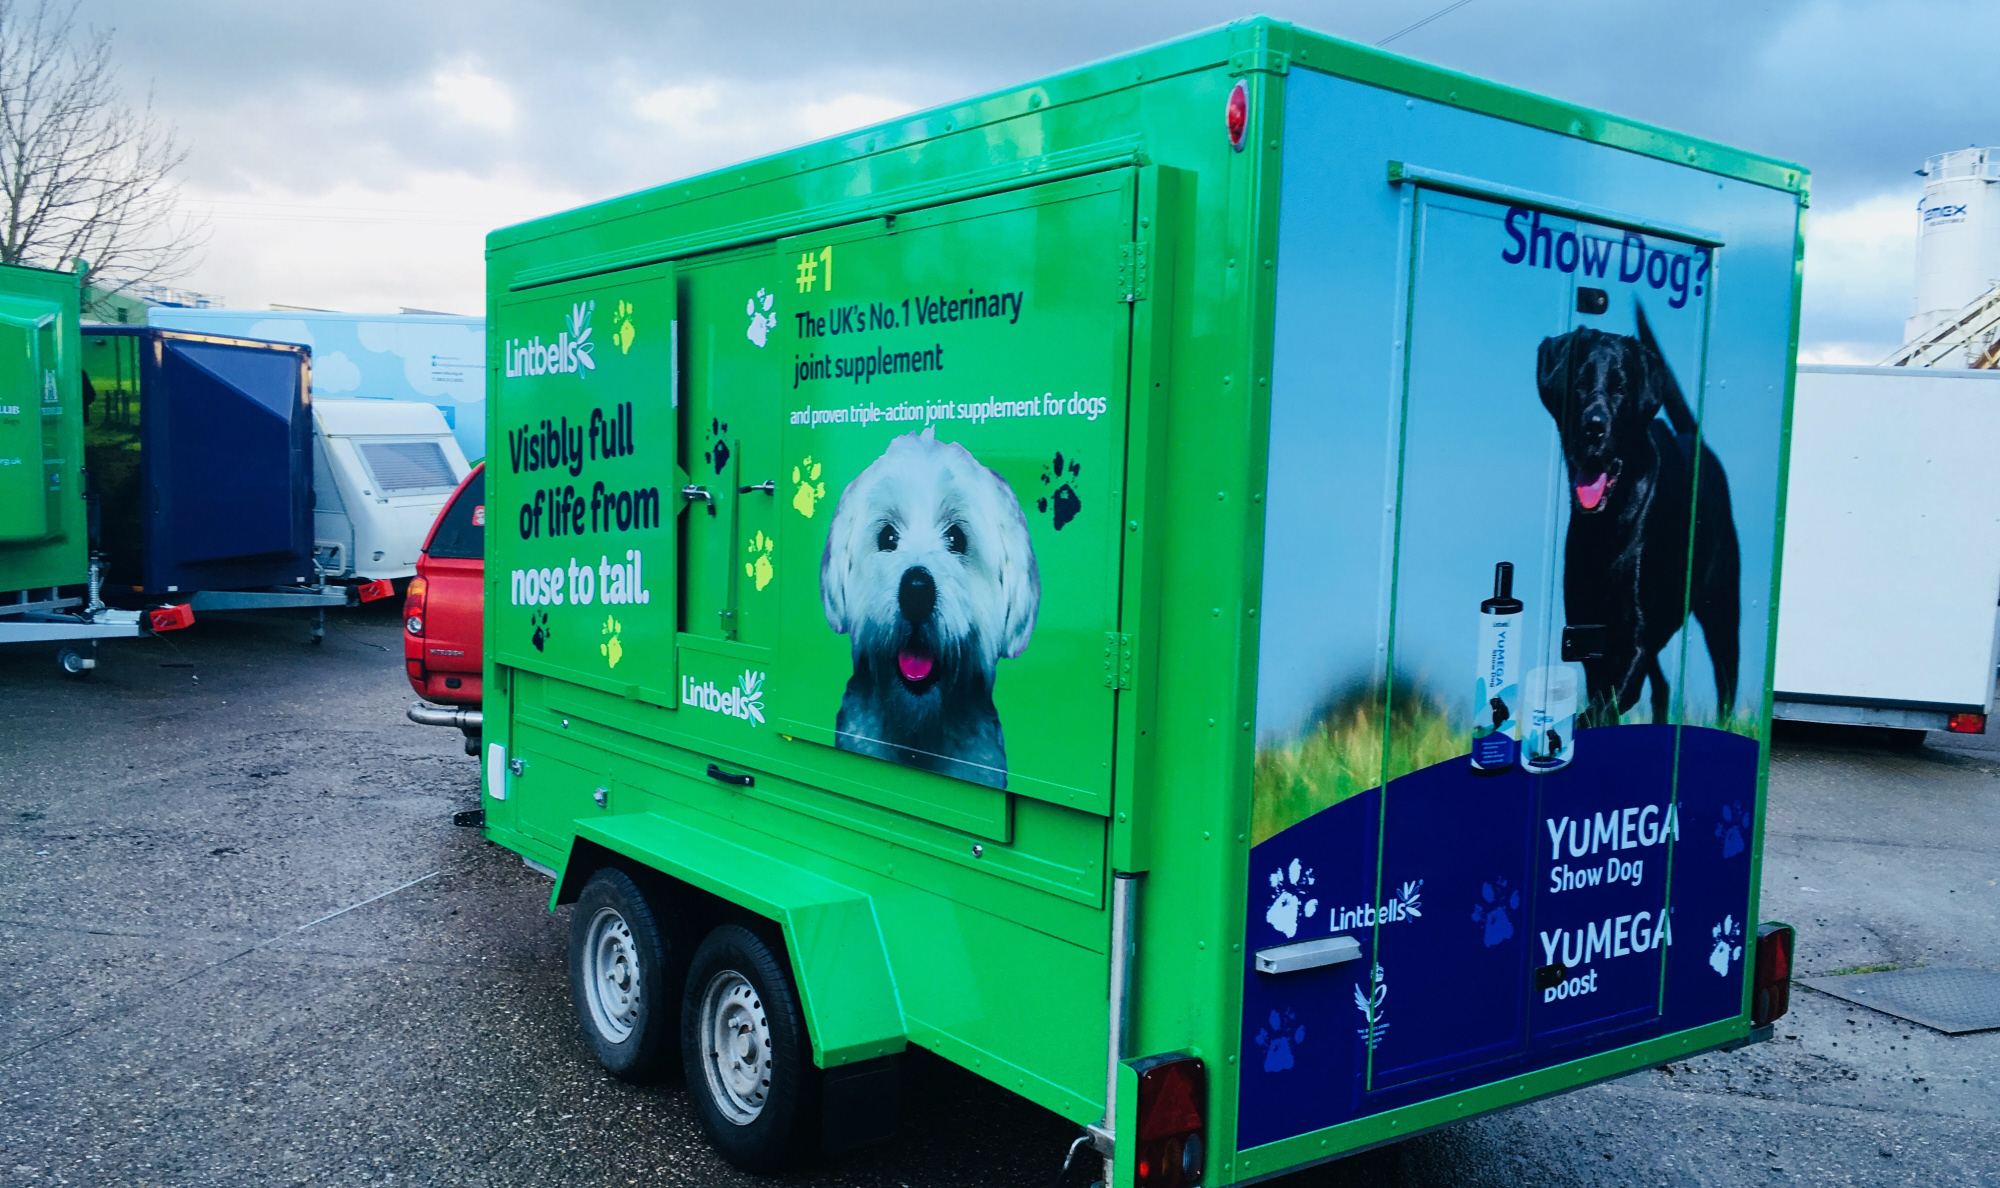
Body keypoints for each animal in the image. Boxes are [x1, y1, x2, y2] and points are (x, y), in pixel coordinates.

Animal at [1536, 305, 1740, 727]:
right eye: (1579, 383)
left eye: (1621, 388)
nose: (1593, 428)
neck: (1606, 525)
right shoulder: (1589, 635)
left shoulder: (1634, 640)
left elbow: (1599, 709)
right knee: (1661, 687)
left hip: (1722, 609)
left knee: (1726, 682)